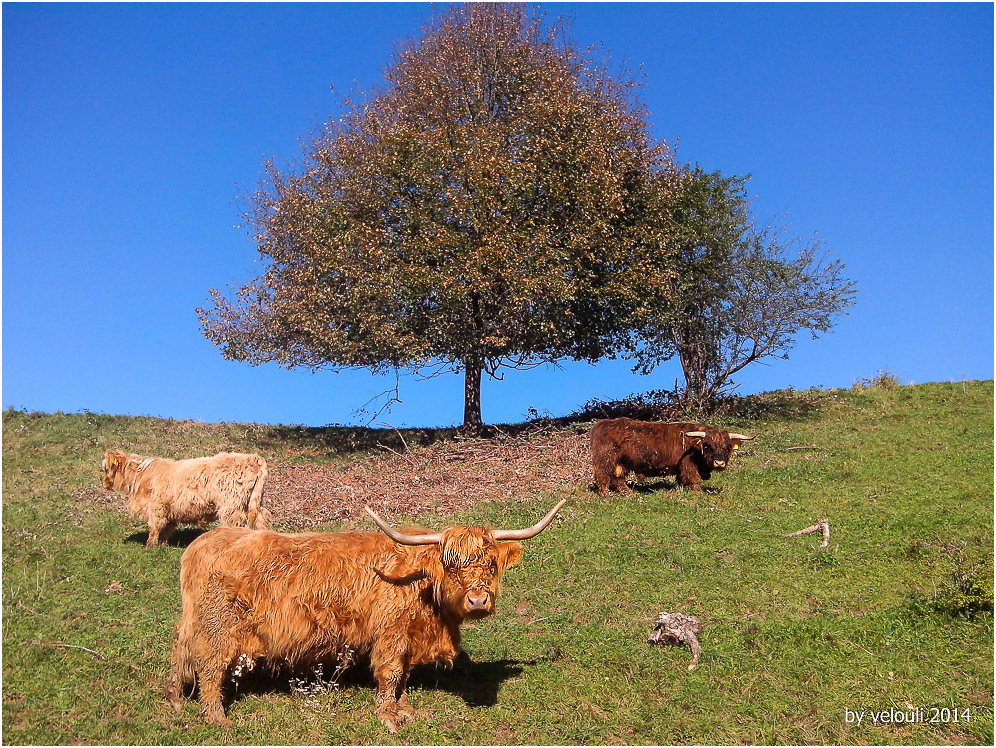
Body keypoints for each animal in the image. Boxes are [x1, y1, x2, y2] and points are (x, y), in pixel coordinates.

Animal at [102, 448, 272, 548]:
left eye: (105, 468)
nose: (104, 483)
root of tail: (254, 458)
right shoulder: (170, 509)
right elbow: (167, 528)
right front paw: (163, 544)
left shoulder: (157, 506)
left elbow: (155, 526)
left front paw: (150, 544)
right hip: (250, 503)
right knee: (262, 520)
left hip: (232, 505)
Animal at [592, 418, 748, 494]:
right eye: (707, 446)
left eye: (727, 448)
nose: (719, 463)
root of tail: (602, 423)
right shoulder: (688, 464)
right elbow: (694, 478)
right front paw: (699, 492)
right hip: (605, 459)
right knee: (602, 476)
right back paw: (605, 495)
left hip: (621, 462)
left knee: (617, 478)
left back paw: (629, 493)